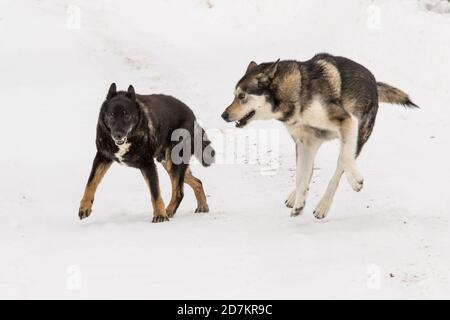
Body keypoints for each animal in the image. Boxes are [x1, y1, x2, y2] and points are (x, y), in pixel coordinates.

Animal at [79, 82, 214, 222]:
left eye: (126, 115)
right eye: (111, 115)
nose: (117, 135)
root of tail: (192, 115)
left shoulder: (148, 164)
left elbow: (155, 193)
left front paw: (160, 215)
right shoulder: (102, 157)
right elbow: (90, 183)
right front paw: (84, 207)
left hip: (174, 162)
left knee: (179, 192)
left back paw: (168, 211)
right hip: (167, 163)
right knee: (197, 182)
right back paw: (202, 206)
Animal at [222, 54, 418, 220]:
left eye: (242, 96)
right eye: (234, 96)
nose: (223, 115)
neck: (298, 91)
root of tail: (374, 82)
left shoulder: (346, 121)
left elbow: (344, 159)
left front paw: (356, 182)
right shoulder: (303, 143)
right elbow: (301, 175)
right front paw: (299, 202)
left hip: (357, 136)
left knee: (339, 168)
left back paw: (323, 206)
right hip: (312, 144)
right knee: (307, 172)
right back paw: (295, 197)